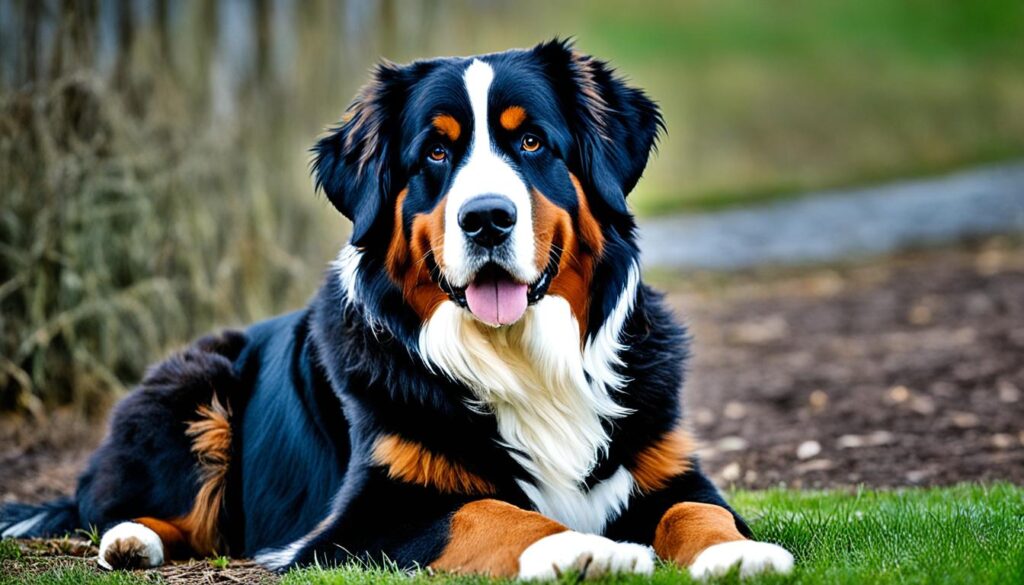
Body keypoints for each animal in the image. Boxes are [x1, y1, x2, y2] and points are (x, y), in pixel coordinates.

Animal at [0, 41, 790, 581]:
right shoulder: (367, 515)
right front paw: (586, 547)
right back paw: (131, 538)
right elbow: (492, 511)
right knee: (130, 508)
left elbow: (698, 508)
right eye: (435, 152)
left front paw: (741, 553)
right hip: (197, 383)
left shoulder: (669, 468)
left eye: (531, 140)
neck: (519, 356)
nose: (487, 219)